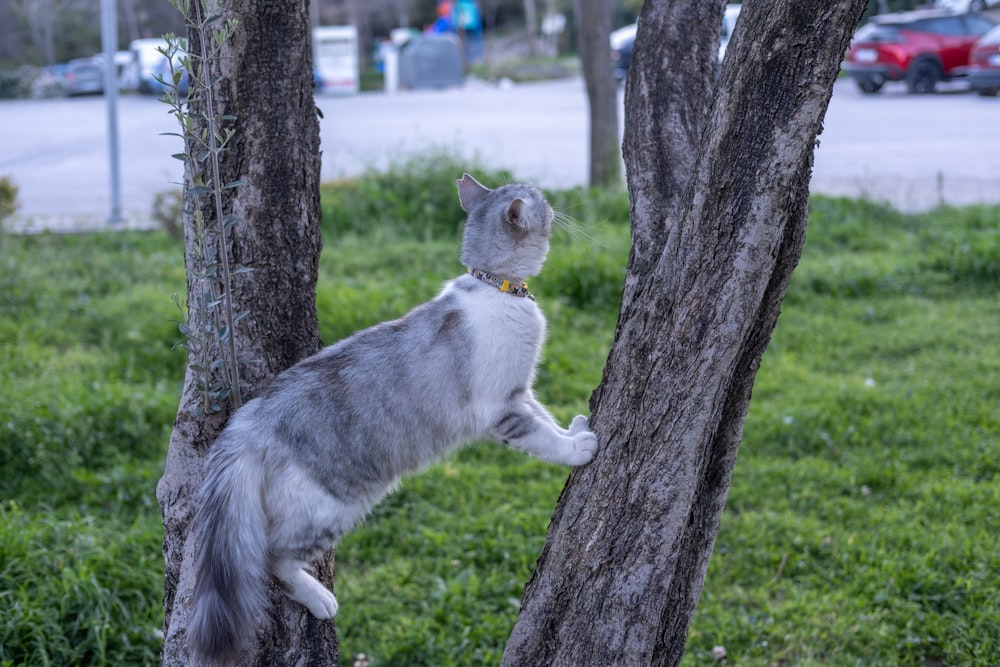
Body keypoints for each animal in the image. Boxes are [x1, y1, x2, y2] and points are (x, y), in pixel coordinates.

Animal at [188, 174, 596, 667]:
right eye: (538, 198)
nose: (547, 192)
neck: (498, 291)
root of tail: (249, 419)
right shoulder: (501, 407)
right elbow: (542, 437)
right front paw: (579, 448)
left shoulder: (522, 392)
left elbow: (547, 420)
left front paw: (574, 428)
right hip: (333, 505)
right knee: (274, 559)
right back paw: (319, 597)